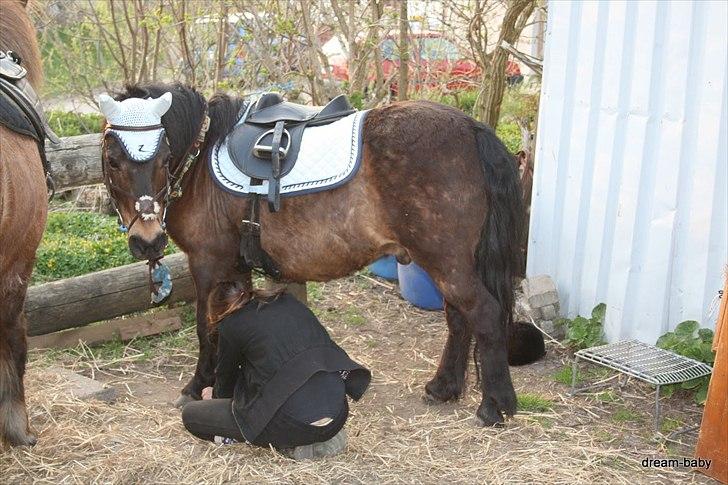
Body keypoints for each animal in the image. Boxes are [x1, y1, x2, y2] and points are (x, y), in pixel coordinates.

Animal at [104, 83, 544, 424]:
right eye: (112, 160)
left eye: (163, 157)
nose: (147, 240)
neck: (201, 156)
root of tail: (470, 127)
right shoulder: (235, 268)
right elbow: (231, 325)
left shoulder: (208, 264)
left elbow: (205, 328)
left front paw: (196, 387)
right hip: (446, 262)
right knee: (458, 319)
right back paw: (443, 387)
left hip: (447, 262)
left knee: (483, 315)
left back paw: (495, 407)